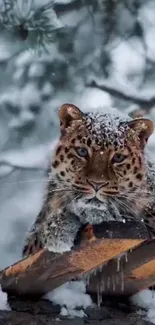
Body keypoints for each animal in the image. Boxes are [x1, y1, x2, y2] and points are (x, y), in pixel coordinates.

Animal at [22, 103, 155, 256]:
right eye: (82, 151)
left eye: (118, 158)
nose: (96, 183)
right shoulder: (30, 243)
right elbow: (38, 236)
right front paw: (56, 229)